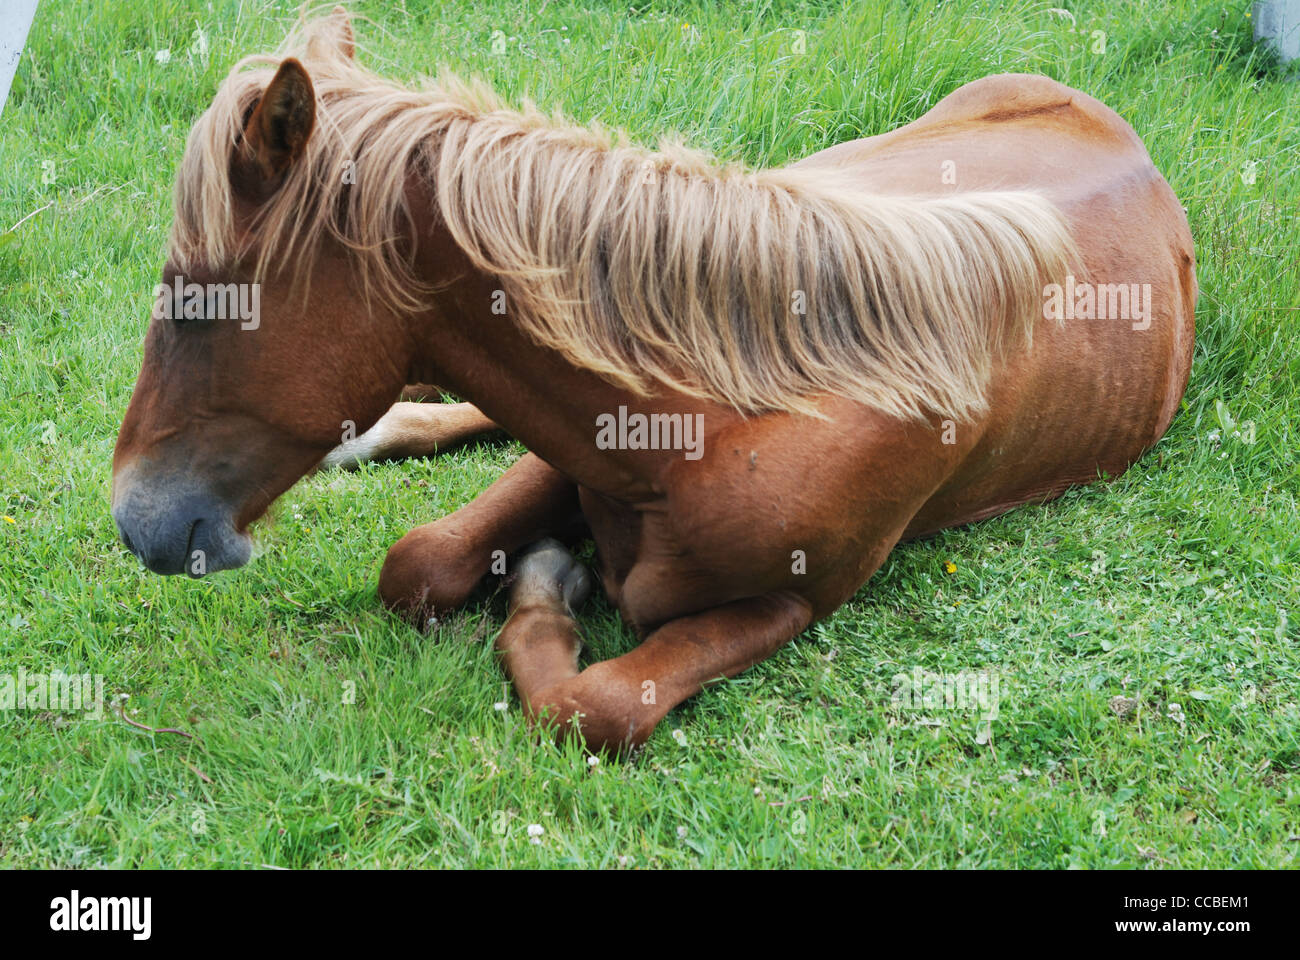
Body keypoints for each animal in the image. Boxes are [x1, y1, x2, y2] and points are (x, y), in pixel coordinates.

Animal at [111, 9, 1196, 753]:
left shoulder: (791, 603)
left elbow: (594, 705)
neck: (736, 412)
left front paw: (546, 582)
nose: (134, 518)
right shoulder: (567, 452)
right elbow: (418, 563)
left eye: (196, 299)